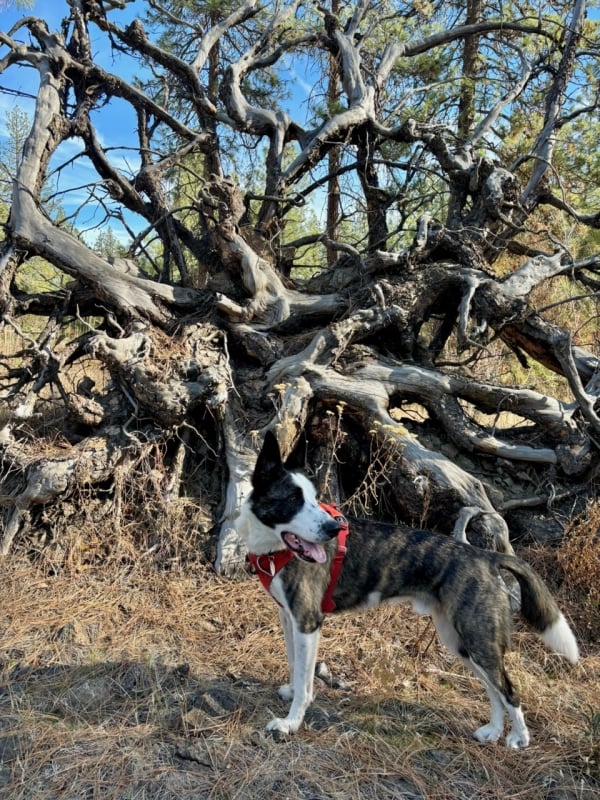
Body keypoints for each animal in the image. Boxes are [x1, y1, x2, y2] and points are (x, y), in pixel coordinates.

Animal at [237, 432, 580, 752]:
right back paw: (493, 731)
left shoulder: (308, 623)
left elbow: (306, 681)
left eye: (312, 497)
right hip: (461, 642)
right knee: (493, 689)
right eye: (294, 499)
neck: (274, 549)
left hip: (478, 641)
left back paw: (520, 738)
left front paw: (291, 723)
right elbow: (295, 666)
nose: (333, 530)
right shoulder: (290, 620)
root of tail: (485, 556)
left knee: (508, 689)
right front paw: (292, 694)